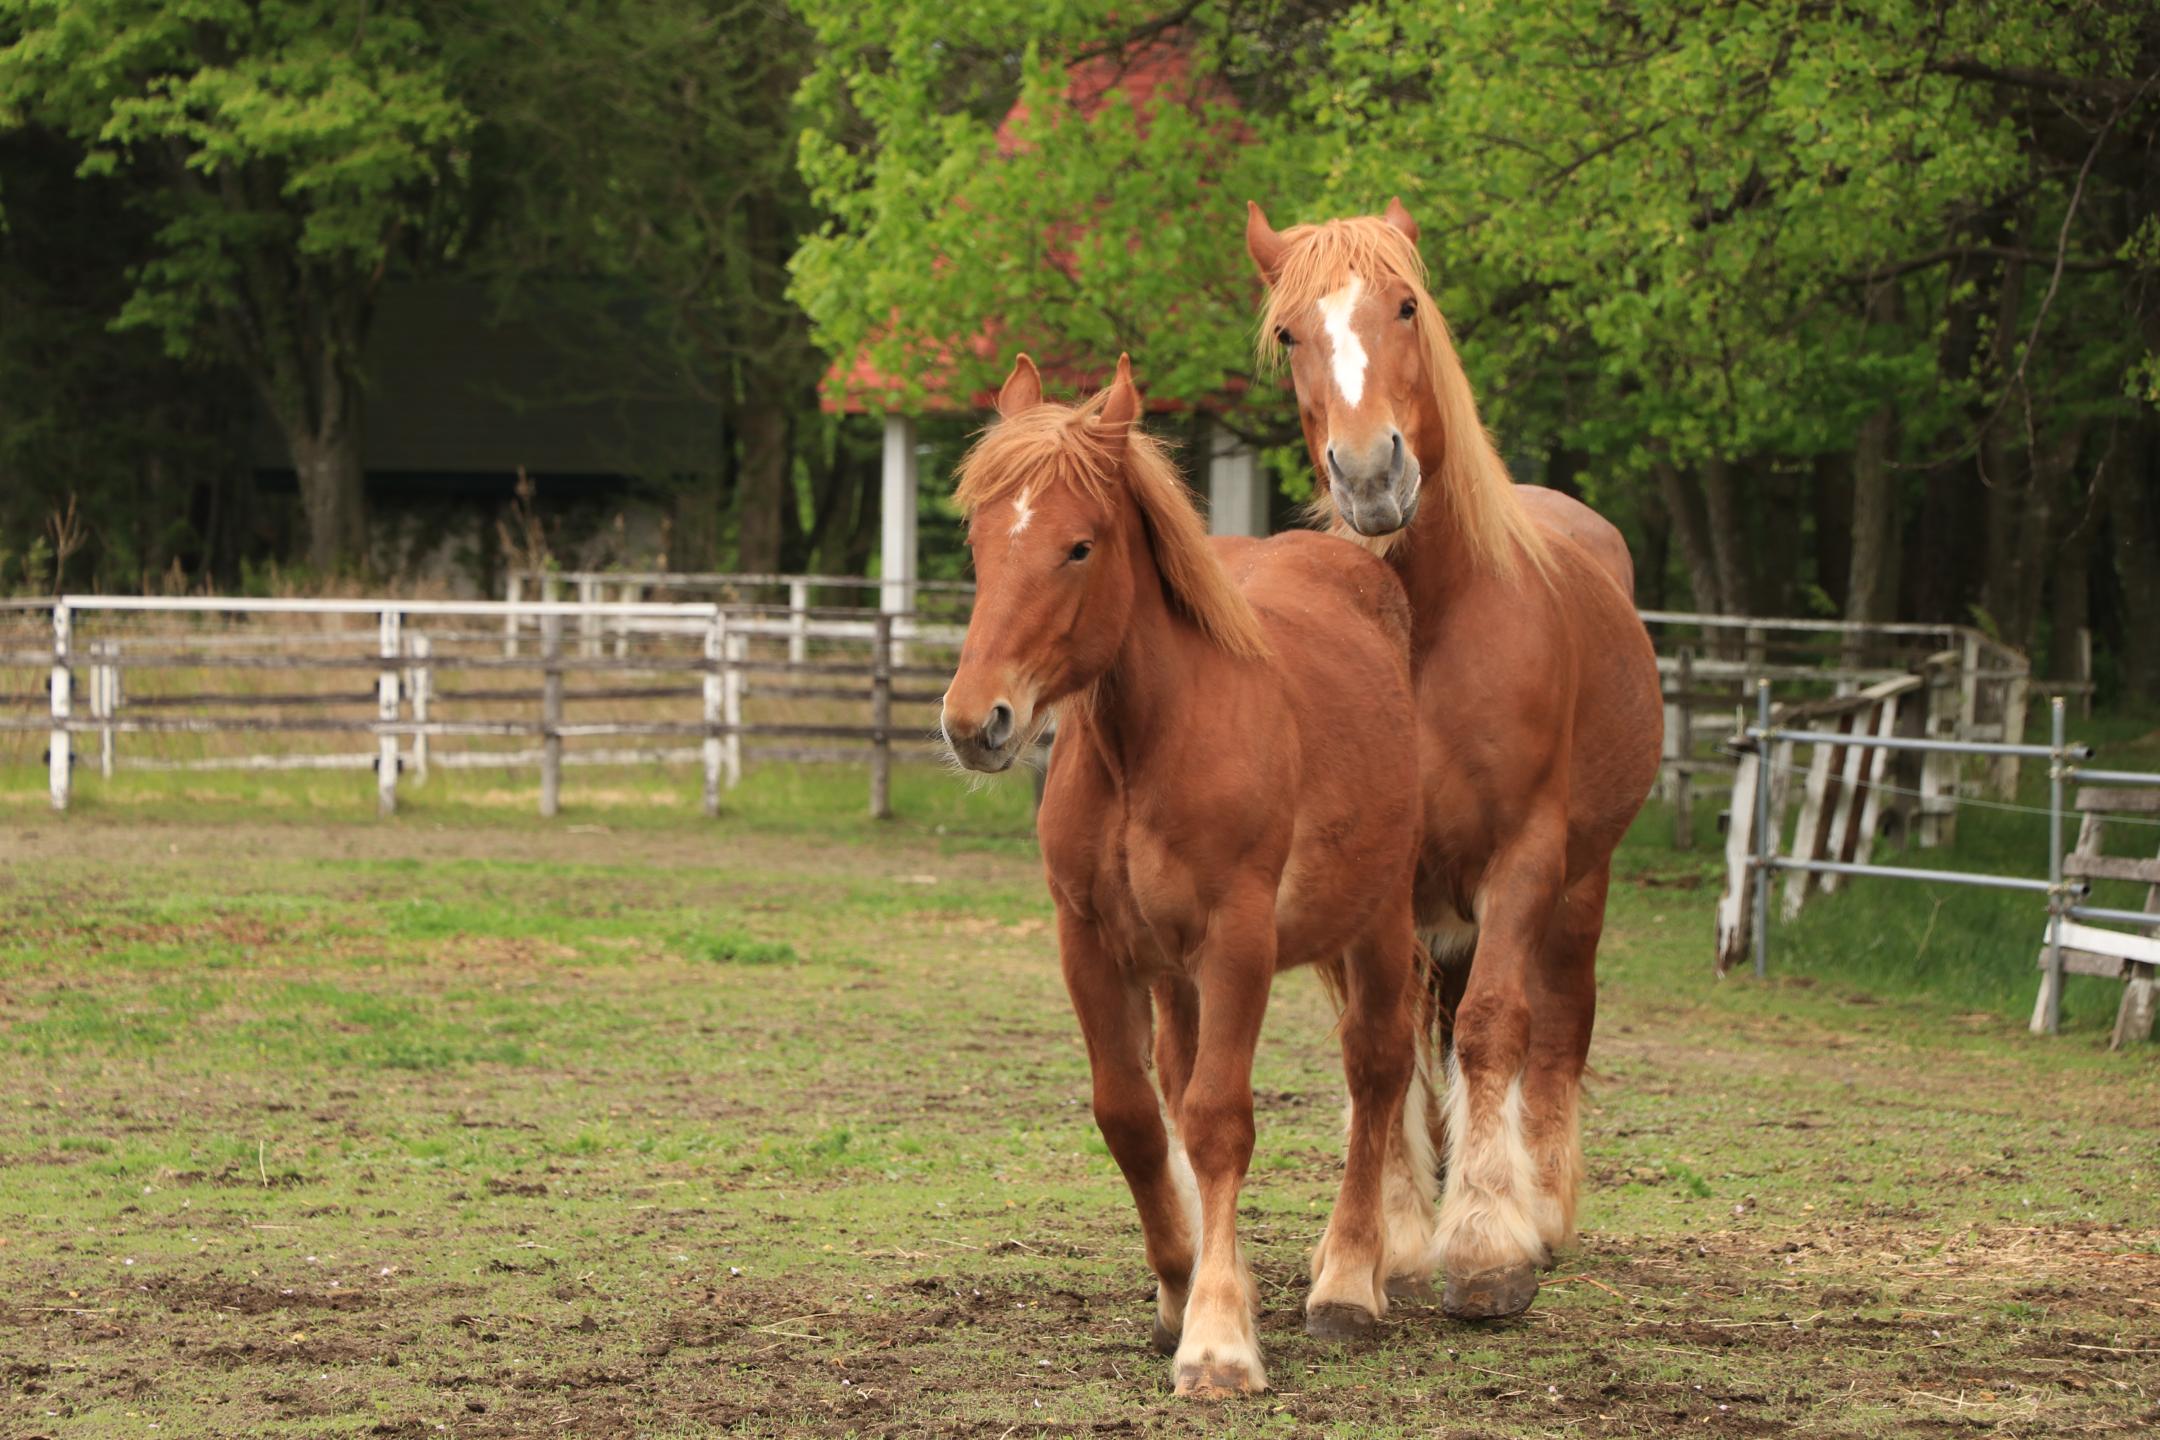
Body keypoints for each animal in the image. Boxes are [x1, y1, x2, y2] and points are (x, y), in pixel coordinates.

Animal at [940, 353, 1438, 1397]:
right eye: (979, 538)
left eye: (1078, 547)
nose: (976, 723)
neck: (1148, 746)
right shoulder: (1091, 943)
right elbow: (1133, 1116)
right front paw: (1183, 1288)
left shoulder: (1237, 941)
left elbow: (1217, 1121)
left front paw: (1216, 1340)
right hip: (1177, 976)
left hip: (1377, 922)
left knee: (1375, 1070)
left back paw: (1347, 1282)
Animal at [1245, 199, 1665, 1320]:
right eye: (1289, 334)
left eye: (1405, 306)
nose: (1371, 474)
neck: (1429, 622)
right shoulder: (1377, 878)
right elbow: (1383, 1046)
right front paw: (1387, 1236)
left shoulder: (1524, 857)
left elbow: (1492, 1028)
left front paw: (1485, 1246)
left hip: (1582, 885)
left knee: (1559, 1024)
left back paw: (1545, 1206)